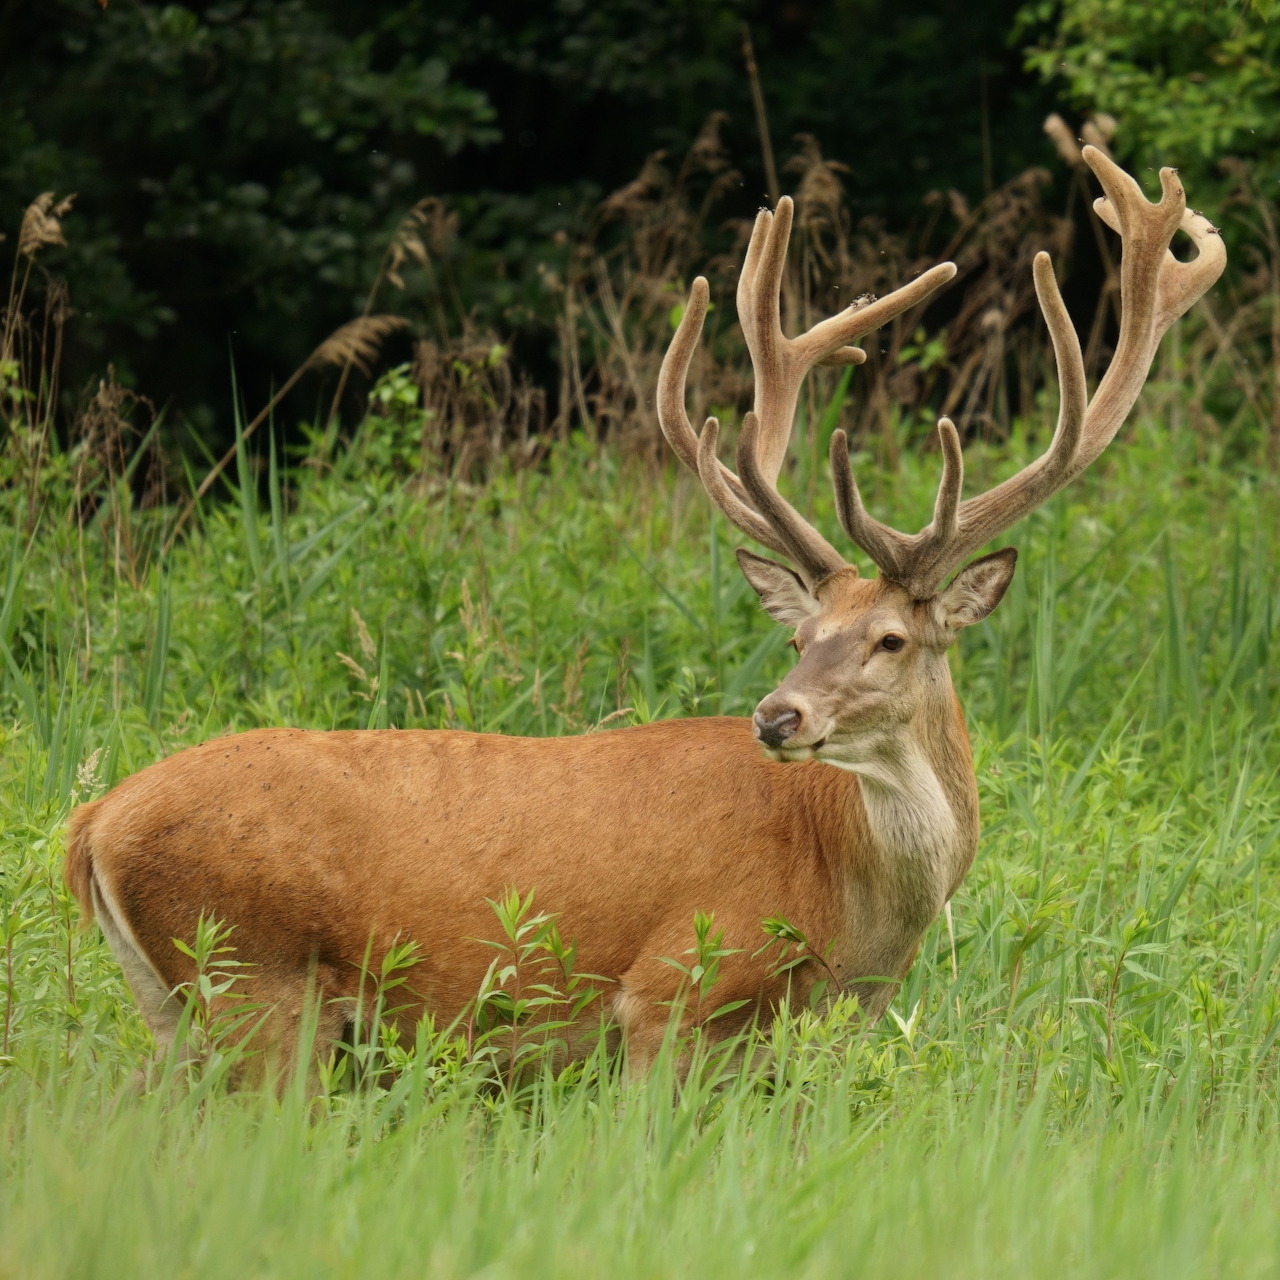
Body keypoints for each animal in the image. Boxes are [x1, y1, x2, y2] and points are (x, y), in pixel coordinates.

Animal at [64, 147, 1223, 1080]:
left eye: (889, 638)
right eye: (798, 635)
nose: (776, 716)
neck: (844, 909)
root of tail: (91, 826)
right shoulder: (669, 992)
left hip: (178, 1008)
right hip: (251, 981)